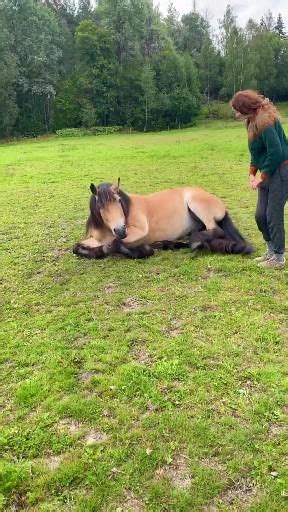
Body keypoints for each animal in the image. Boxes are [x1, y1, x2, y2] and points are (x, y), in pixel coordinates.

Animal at [73, 181, 253, 260]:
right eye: (100, 206)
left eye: (118, 200)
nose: (121, 230)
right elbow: (76, 247)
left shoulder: (138, 231)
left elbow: (116, 243)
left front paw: (142, 250)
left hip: (196, 204)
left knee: (216, 230)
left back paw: (194, 242)